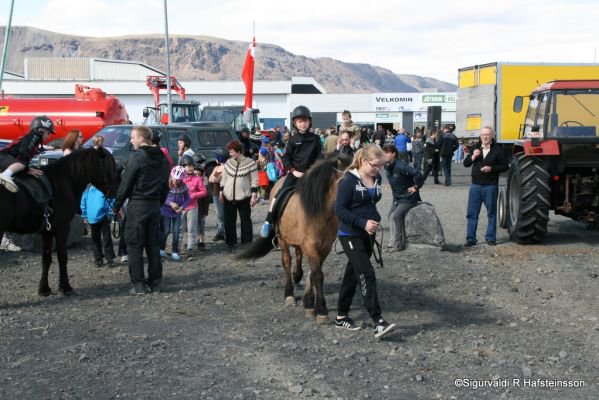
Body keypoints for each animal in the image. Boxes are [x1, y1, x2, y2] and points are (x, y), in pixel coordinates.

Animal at [0, 148, 117, 296]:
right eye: (109, 166)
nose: (115, 191)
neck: (61, 184)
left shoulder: (47, 231)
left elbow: (46, 258)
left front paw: (44, 289)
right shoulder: (62, 228)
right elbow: (62, 257)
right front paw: (65, 287)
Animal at [239, 153, 352, 322]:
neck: (320, 213)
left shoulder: (324, 247)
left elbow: (313, 273)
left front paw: (309, 302)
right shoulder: (310, 245)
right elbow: (317, 275)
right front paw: (321, 310)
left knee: (298, 256)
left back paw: (297, 275)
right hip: (282, 240)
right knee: (287, 261)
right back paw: (289, 294)